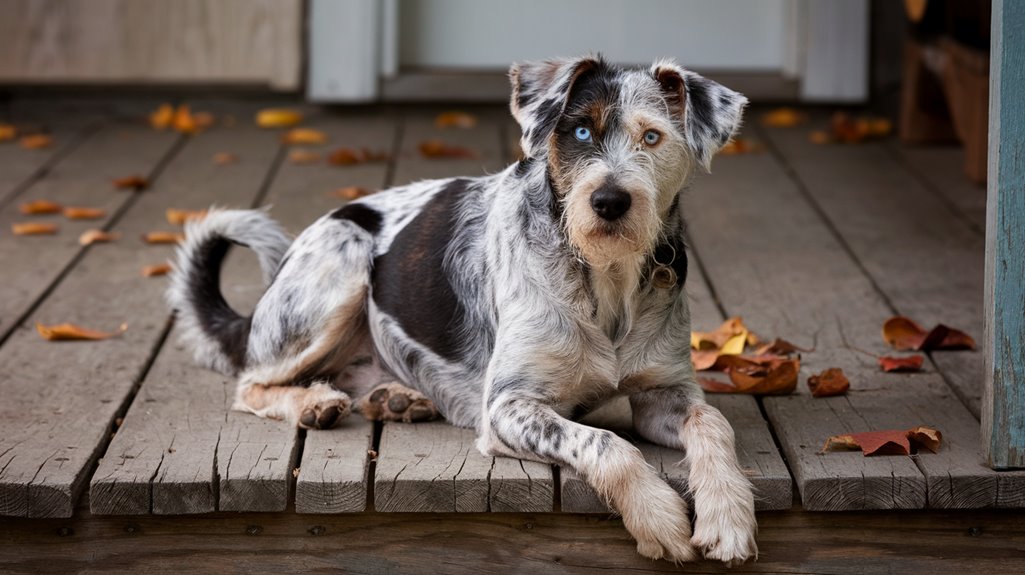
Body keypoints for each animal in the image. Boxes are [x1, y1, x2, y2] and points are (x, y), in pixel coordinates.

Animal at [168, 56, 758, 561]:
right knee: (250, 382)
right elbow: (606, 443)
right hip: (341, 263)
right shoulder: (506, 408)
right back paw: (315, 402)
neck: (605, 277)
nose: (609, 202)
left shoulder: (665, 394)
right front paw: (658, 518)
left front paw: (728, 518)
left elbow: (713, 423)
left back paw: (395, 398)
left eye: (652, 136)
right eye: (581, 133)